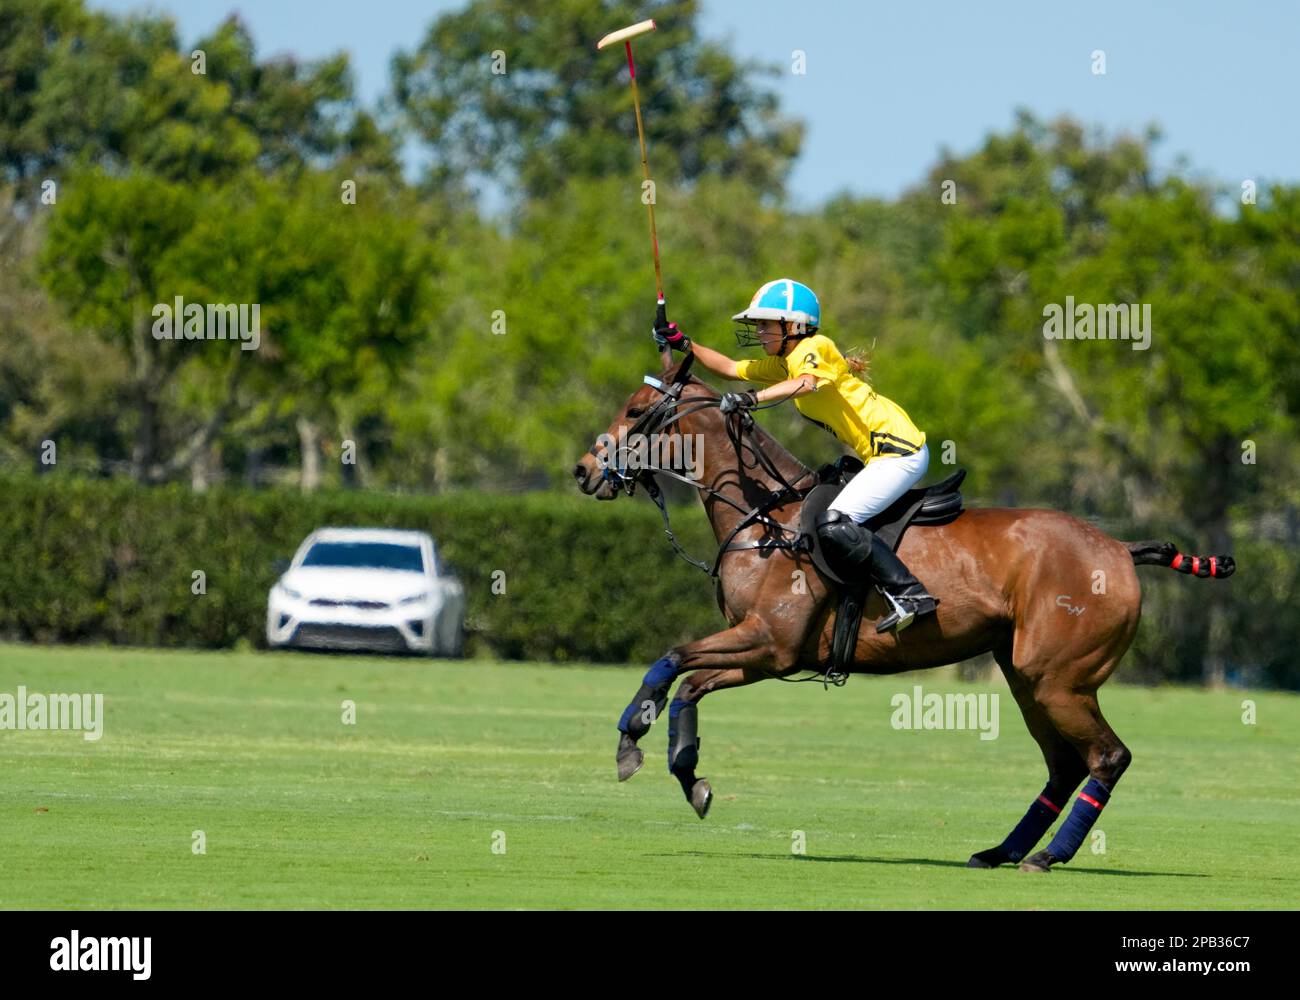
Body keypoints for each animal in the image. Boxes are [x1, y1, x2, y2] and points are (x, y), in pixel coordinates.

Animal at [574, 353, 1232, 868]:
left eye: (636, 409)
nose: (583, 472)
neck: (766, 520)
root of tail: (1119, 549)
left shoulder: (769, 642)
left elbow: (670, 659)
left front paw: (631, 739)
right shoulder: (766, 654)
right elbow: (688, 686)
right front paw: (689, 777)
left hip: (1061, 680)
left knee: (1107, 757)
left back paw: (1046, 856)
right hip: (1029, 678)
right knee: (1065, 766)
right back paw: (1002, 851)